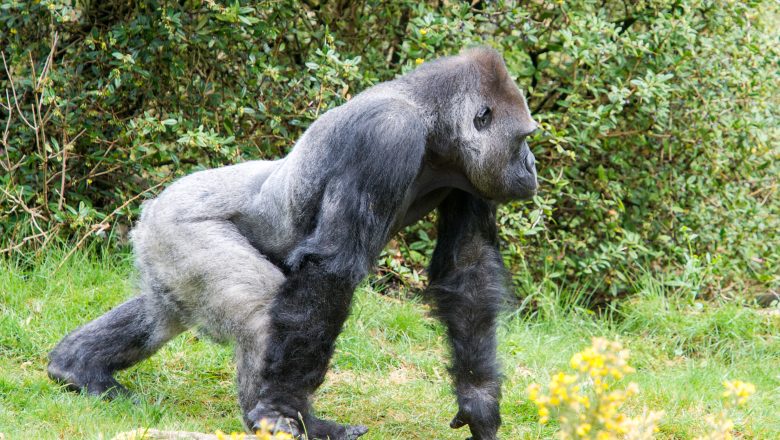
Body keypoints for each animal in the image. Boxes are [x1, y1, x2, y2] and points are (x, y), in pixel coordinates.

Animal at [47, 46, 536, 438]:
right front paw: (282, 405)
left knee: (158, 311)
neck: (431, 119)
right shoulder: (386, 135)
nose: (532, 167)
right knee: (260, 308)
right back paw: (287, 422)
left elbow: (467, 266)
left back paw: (77, 367)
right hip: (179, 222)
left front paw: (479, 400)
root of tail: (150, 209)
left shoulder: (471, 173)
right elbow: (331, 268)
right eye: (525, 140)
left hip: (163, 249)